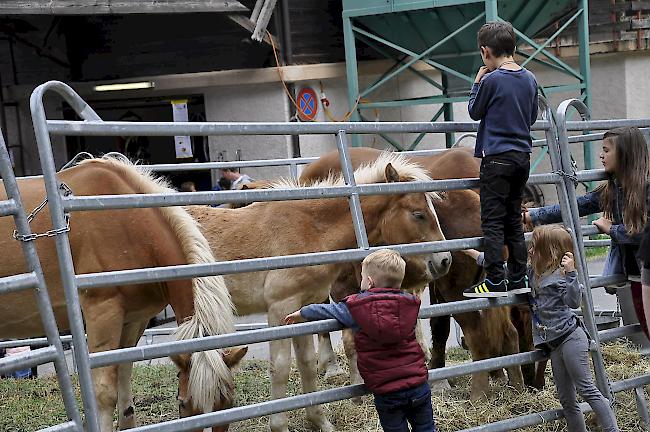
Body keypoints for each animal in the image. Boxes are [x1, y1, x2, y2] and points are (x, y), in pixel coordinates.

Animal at [0, 156, 246, 432]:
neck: (127, 225)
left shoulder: (133, 320)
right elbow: (105, 392)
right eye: (182, 403)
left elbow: (125, 374)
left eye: (228, 403)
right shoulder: (102, 315)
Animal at [185, 154, 450, 432]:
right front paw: (279, 426)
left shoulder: (300, 309)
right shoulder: (279, 308)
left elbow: (307, 364)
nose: (445, 260)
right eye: (418, 214)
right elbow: (280, 367)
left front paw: (319, 421)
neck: (310, 229)